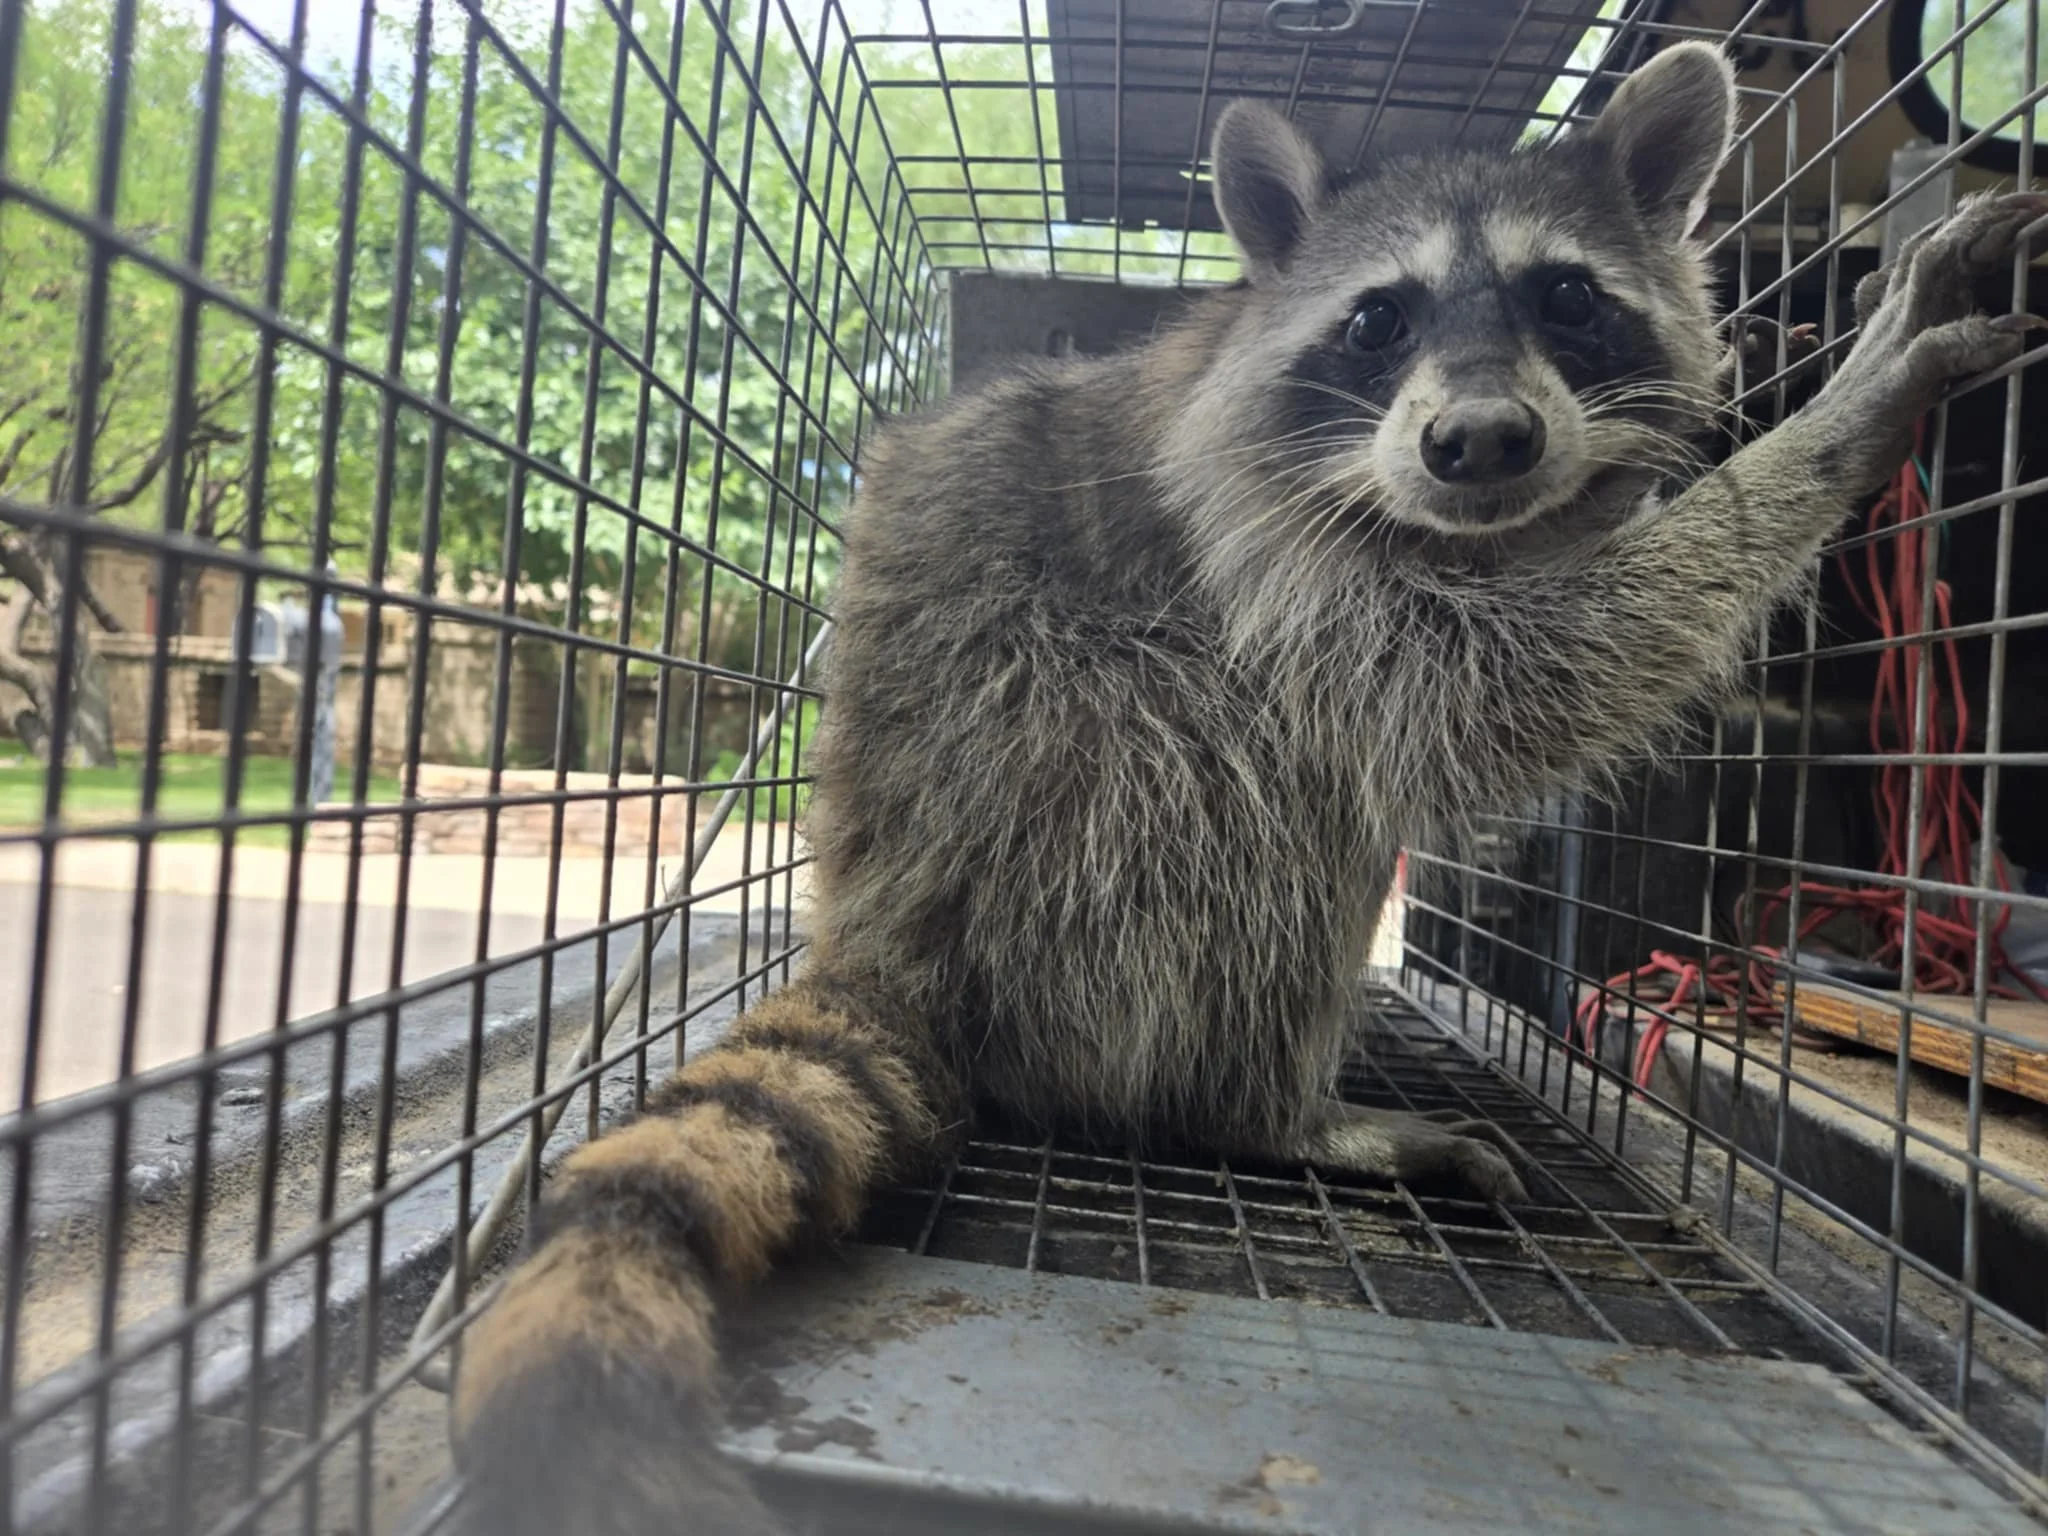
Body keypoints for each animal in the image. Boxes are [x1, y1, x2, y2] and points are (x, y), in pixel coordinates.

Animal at [450, 42, 2045, 1536]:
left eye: (1566, 297)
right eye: (1380, 317)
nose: (1481, 444)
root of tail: (886, 934)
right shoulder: (1251, 520)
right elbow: (1484, 690)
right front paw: (1829, 425)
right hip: (1070, 797)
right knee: (1277, 782)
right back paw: (1258, 1105)